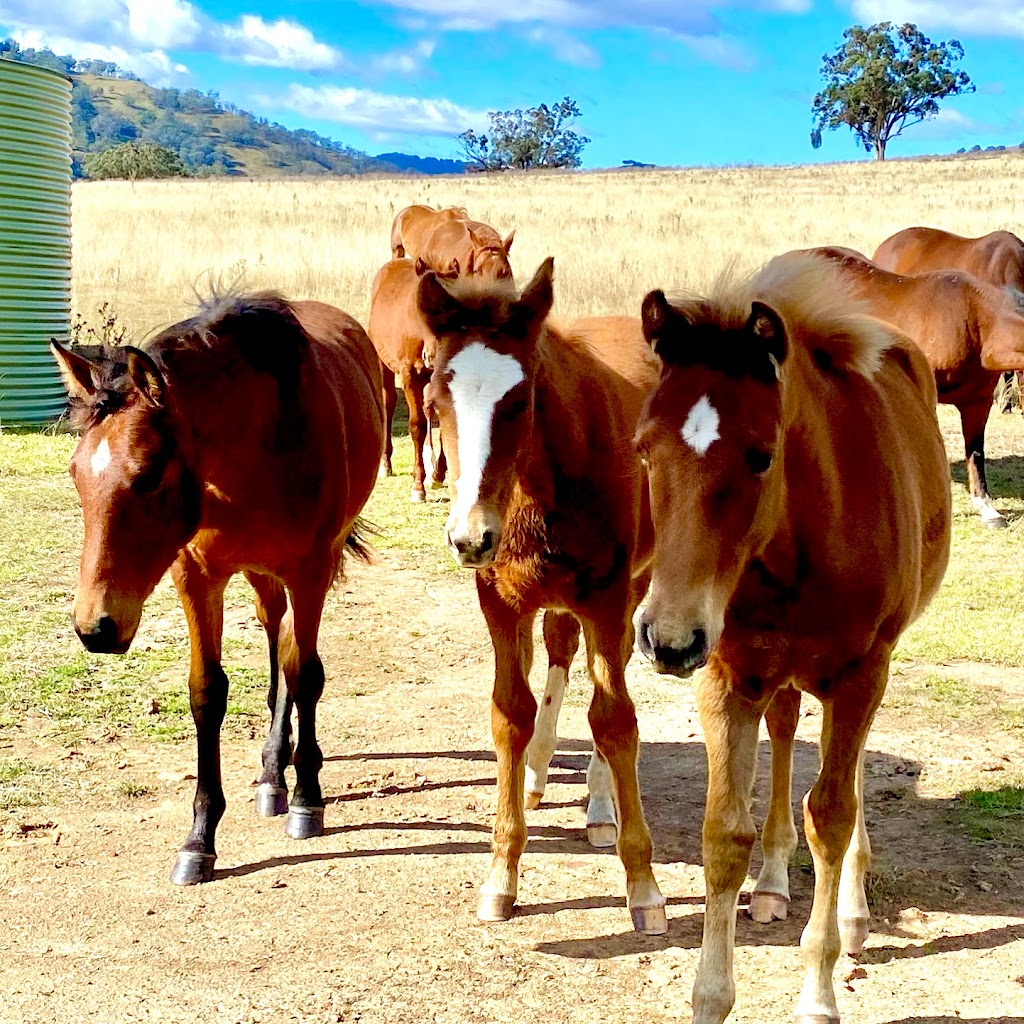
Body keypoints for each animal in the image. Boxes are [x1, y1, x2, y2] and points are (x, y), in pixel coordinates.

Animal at [49, 292, 385, 884]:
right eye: (75, 473)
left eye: (148, 475)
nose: (97, 628)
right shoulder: (196, 575)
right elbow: (208, 691)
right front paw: (199, 838)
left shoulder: (310, 571)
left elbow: (306, 674)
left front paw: (308, 797)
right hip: (260, 575)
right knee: (276, 635)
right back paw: (273, 769)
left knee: (292, 655)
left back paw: (286, 773)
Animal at [368, 258, 448, 501]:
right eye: (419, 304)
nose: (432, 355)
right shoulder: (409, 375)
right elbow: (417, 426)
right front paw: (418, 486)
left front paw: (438, 474)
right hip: (382, 360)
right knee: (388, 401)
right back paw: (386, 463)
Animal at [417, 264, 671, 937]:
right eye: (435, 403)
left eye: (520, 400)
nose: (470, 537)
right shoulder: (500, 605)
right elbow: (510, 713)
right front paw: (501, 876)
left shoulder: (609, 598)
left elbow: (615, 719)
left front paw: (644, 887)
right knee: (558, 651)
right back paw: (536, 772)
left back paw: (601, 804)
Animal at [630, 251, 950, 1019]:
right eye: (643, 449)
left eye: (760, 454)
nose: (666, 637)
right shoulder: (726, 676)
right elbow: (724, 834)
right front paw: (710, 997)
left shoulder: (861, 671)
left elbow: (831, 816)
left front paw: (819, 990)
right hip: (773, 669)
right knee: (783, 728)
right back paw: (773, 882)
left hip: (866, 668)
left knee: (847, 775)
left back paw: (854, 913)